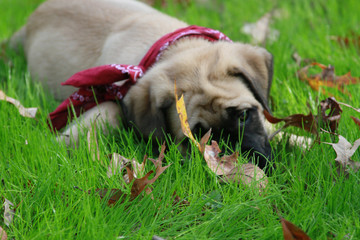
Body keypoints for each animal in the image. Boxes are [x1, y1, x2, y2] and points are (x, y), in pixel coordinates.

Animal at [11, 0, 274, 170]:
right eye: (198, 137)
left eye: (244, 116)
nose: (239, 163)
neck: (171, 48)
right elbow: (105, 115)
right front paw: (56, 146)